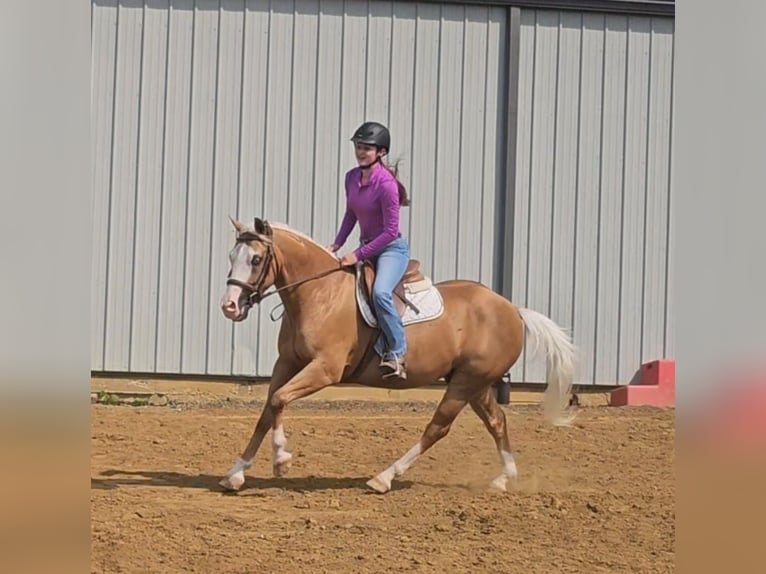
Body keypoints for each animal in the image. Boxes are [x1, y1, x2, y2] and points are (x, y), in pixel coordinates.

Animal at [218, 217, 576, 494]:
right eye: (231, 255)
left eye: (255, 260)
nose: (229, 306)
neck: (320, 294)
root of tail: (513, 310)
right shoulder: (287, 363)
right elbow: (268, 409)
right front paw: (236, 473)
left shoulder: (324, 369)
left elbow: (279, 400)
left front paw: (281, 459)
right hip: (475, 383)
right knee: (496, 420)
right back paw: (503, 479)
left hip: (466, 383)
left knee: (438, 428)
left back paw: (384, 478)